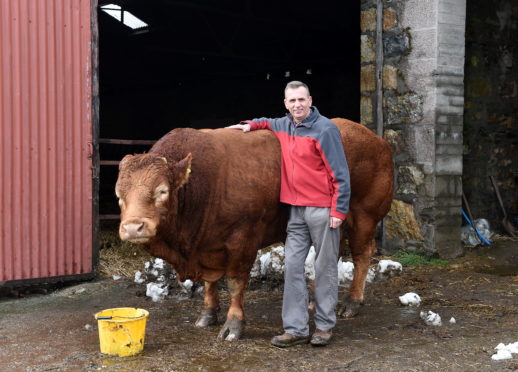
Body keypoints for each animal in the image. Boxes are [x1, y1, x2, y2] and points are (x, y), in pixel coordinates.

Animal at [117, 118, 394, 340]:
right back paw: (316, 301)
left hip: (364, 215)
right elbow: (210, 283)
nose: (133, 227)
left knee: (361, 255)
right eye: (119, 195)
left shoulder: (242, 241)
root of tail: (375, 139)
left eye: (162, 191)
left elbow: (235, 283)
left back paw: (352, 302)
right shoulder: (207, 244)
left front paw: (233, 325)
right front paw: (208, 313)